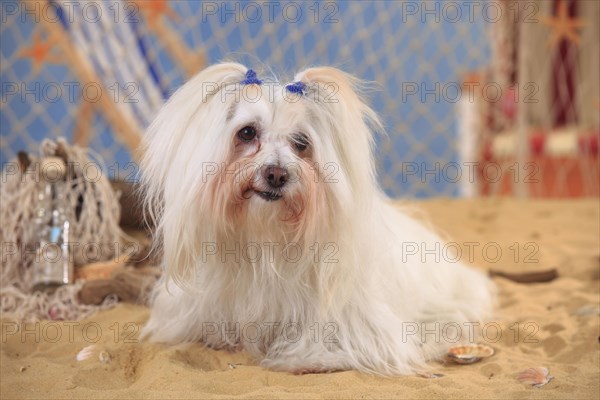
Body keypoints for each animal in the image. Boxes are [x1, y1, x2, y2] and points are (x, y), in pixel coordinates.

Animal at [141, 62, 496, 376]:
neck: (264, 239)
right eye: (247, 132)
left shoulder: (361, 325)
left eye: (301, 143)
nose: (276, 174)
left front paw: (307, 359)